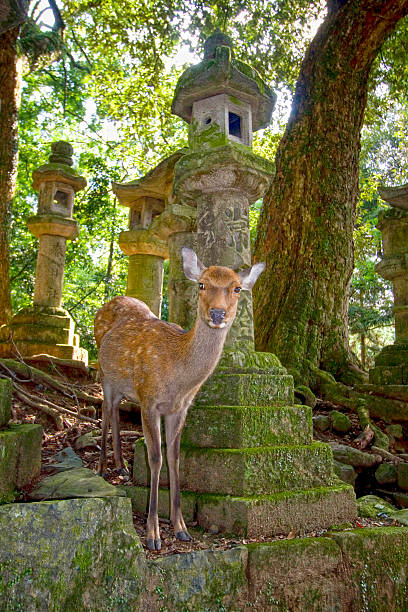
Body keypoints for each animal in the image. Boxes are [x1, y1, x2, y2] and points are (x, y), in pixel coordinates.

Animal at [94, 246, 264, 552]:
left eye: (236, 288)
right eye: (202, 285)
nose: (218, 313)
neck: (178, 378)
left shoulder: (180, 408)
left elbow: (174, 457)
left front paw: (181, 527)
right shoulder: (149, 400)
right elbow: (156, 458)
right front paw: (153, 534)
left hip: (123, 385)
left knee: (114, 410)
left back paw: (122, 466)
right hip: (104, 373)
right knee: (104, 408)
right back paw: (102, 469)